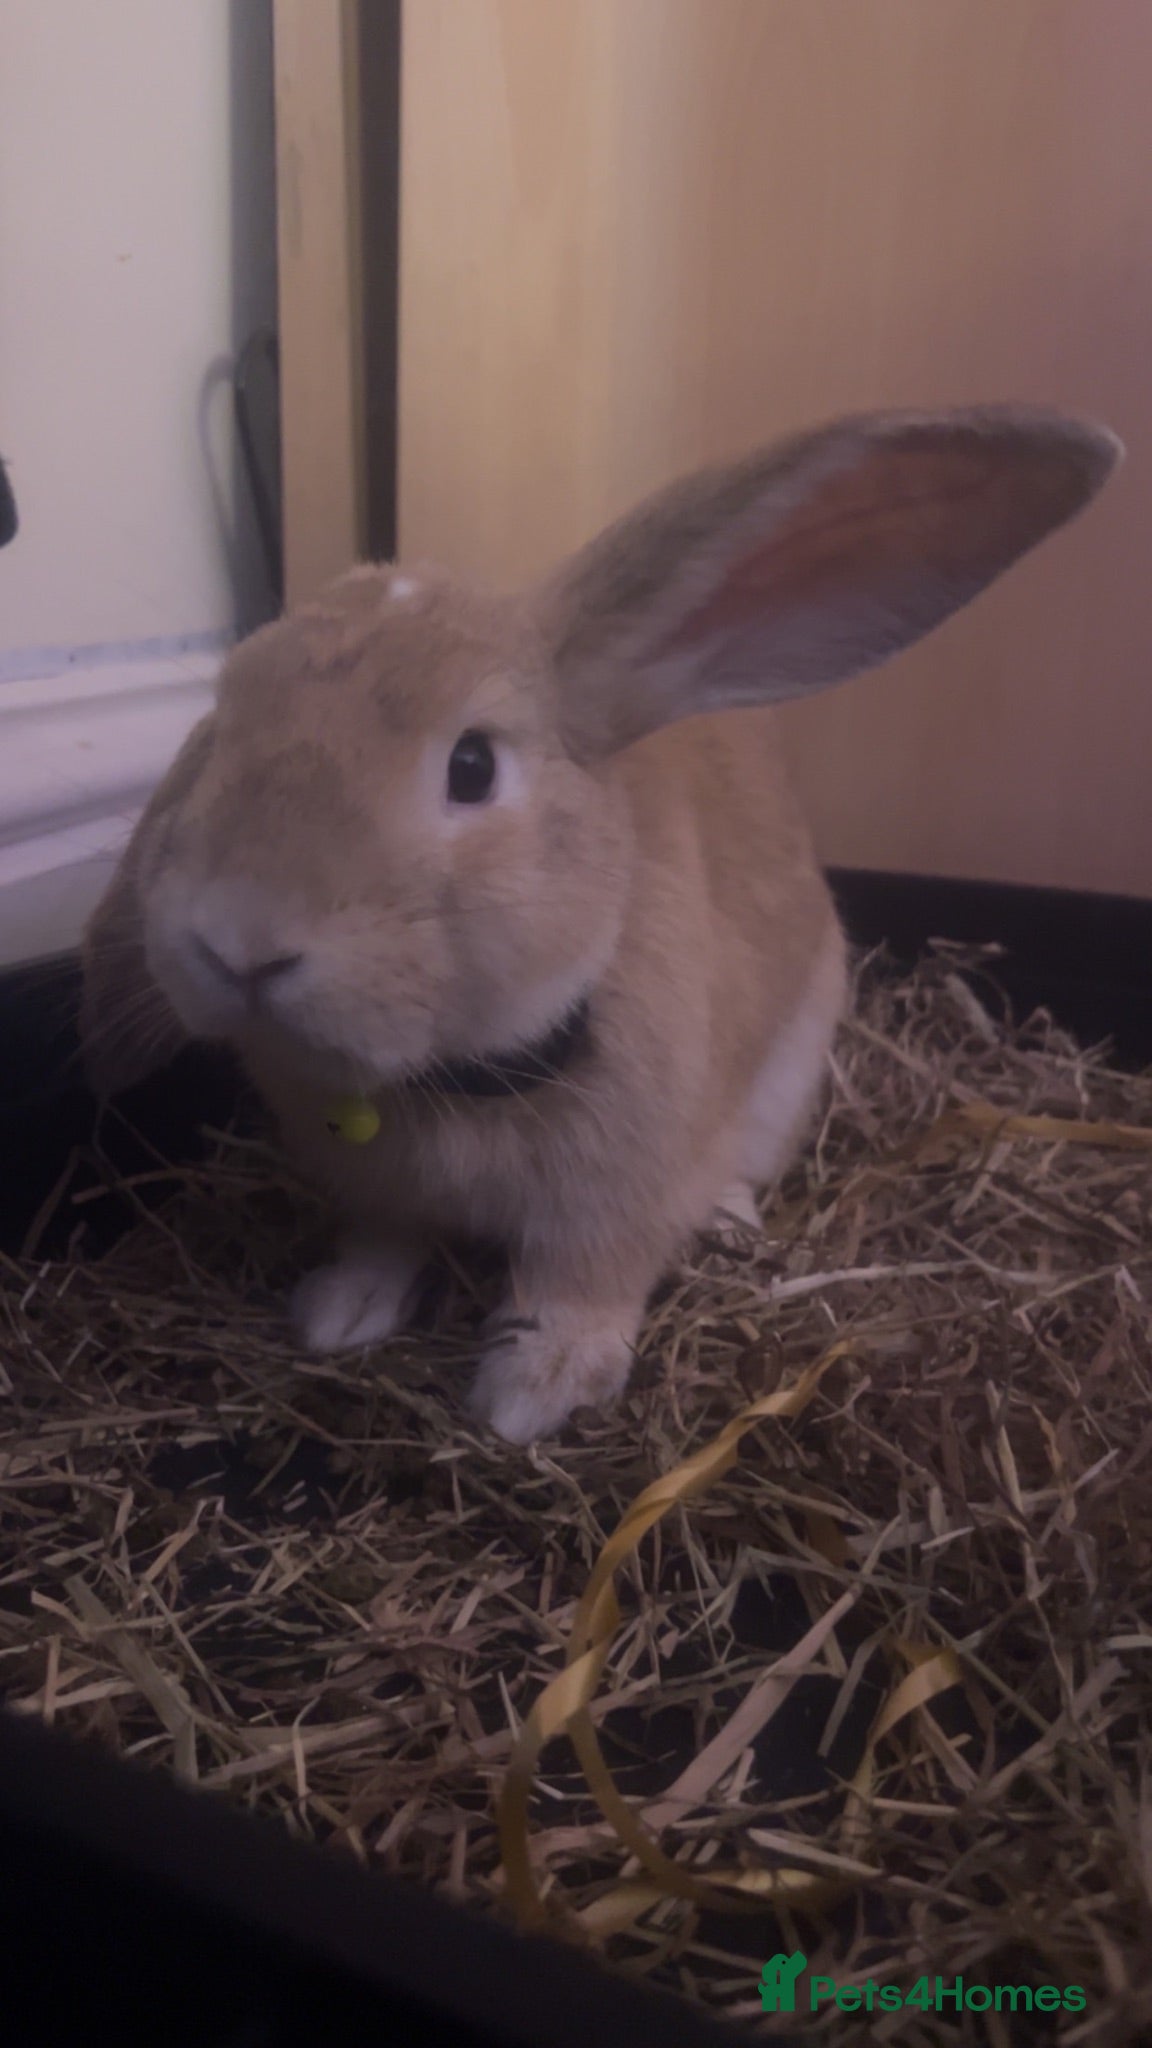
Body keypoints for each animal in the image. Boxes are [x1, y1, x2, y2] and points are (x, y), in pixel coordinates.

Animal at [80, 407, 1120, 1443]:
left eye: (472, 766)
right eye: (218, 720)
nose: (237, 940)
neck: (455, 1075)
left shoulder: (609, 1210)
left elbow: (582, 1283)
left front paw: (532, 1394)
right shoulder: (377, 1195)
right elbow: (385, 1241)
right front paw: (339, 1314)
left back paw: (728, 1219)